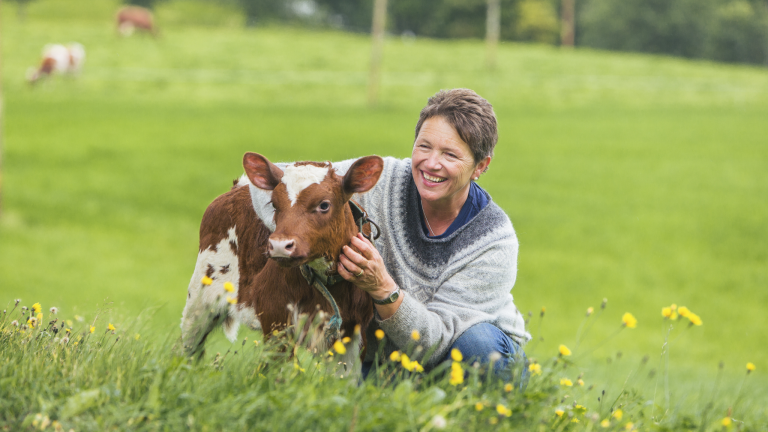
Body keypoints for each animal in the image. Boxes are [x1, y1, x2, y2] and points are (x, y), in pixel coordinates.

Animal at [181, 152, 384, 362]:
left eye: (324, 205)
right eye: (274, 204)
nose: (279, 245)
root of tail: (237, 188)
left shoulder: (353, 336)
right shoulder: (275, 321)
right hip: (198, 301)